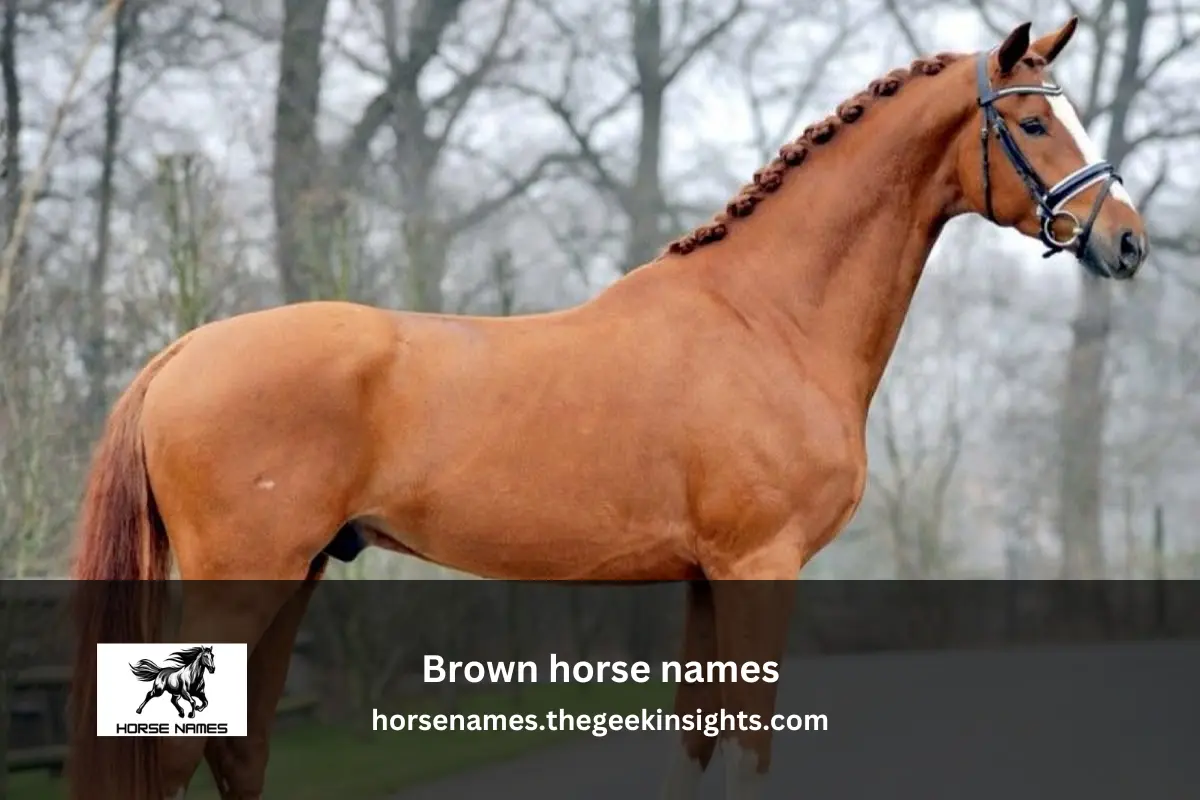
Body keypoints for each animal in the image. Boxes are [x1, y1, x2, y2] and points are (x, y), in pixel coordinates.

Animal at [67, 16, 1147, 800]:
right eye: (1037, 124)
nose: (1128, 242)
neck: (766, 317)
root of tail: (182, 352)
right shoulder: (760, 566)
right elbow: (749, 750)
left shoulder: (710, 578)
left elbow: (696, 743)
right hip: (239, 585)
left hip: (289, 579)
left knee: (237, 751)